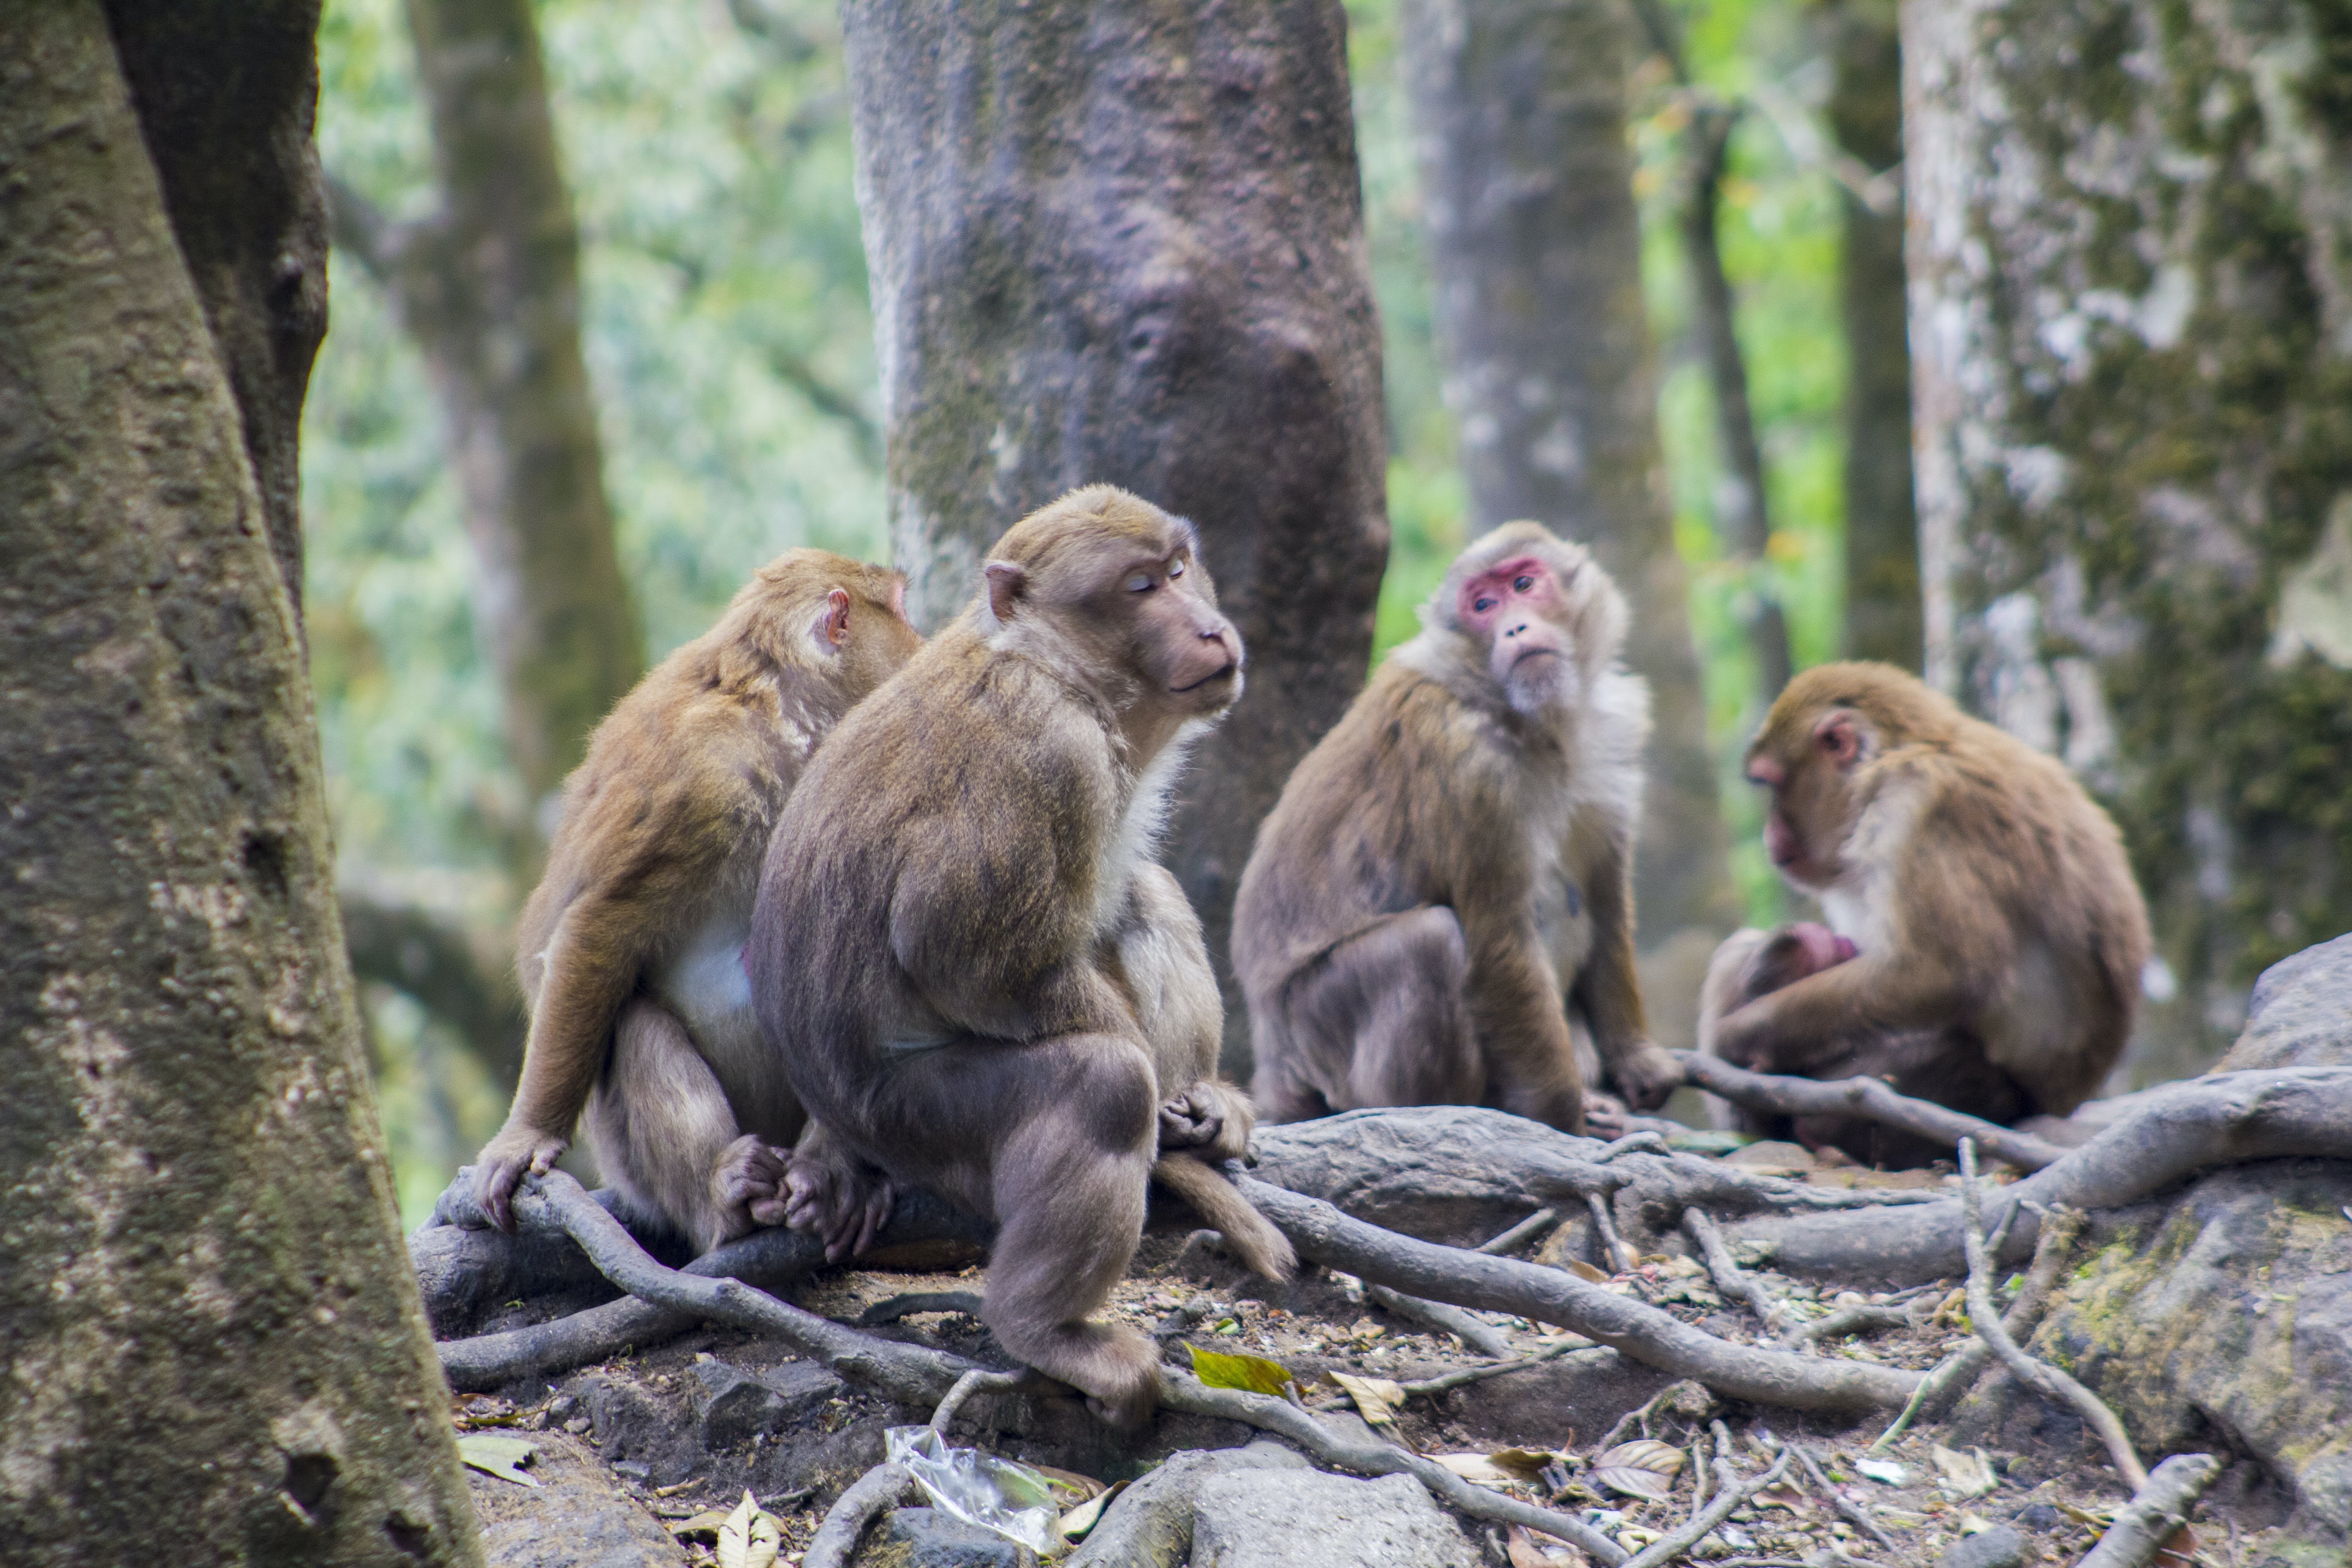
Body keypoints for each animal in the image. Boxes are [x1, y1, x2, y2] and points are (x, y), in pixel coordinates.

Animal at [472, 550, 922, 1250]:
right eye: (902, 611)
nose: (926, 645)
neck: (785, 729)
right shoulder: (699, 784)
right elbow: (597, 925)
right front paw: (528, 1136)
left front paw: (836, 1171)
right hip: (634, 1167)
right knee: (633, 1023)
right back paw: (723, 1196)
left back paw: (836, 1177)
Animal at [748, 484, 1289, 1429]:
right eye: (1139, 587)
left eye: (1178, 569)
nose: (1207, 626)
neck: (1058, 669)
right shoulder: (1051, 755)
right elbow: (952, 948)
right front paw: (1164, 1123)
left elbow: (1115, 903)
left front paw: (1203, 1105)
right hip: (910, 1117)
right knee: (1100, 1085)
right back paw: (1043, 1329)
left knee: (1144, 894)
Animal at [1232, 522, 1675, 1133]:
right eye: (1483, 606)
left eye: (1523, 583)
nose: (1515, 625)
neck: (1533, 722)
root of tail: (1272, 1064)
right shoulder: (1468, 766)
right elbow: (1500, 938)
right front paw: (1566, 1120)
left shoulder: (1613, 736)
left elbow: (1605, 901)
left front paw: (1638, 1062)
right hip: (1318, 1041)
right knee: (1429, 942)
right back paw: (1449, 1107)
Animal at [1712, 663, 2154, 1142]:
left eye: (1771, 785)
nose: (1768, 833)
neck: (1898, 755)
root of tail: (2060, 1106)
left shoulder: (1922, 803)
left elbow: (1944, 975)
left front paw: (1739, 1037)